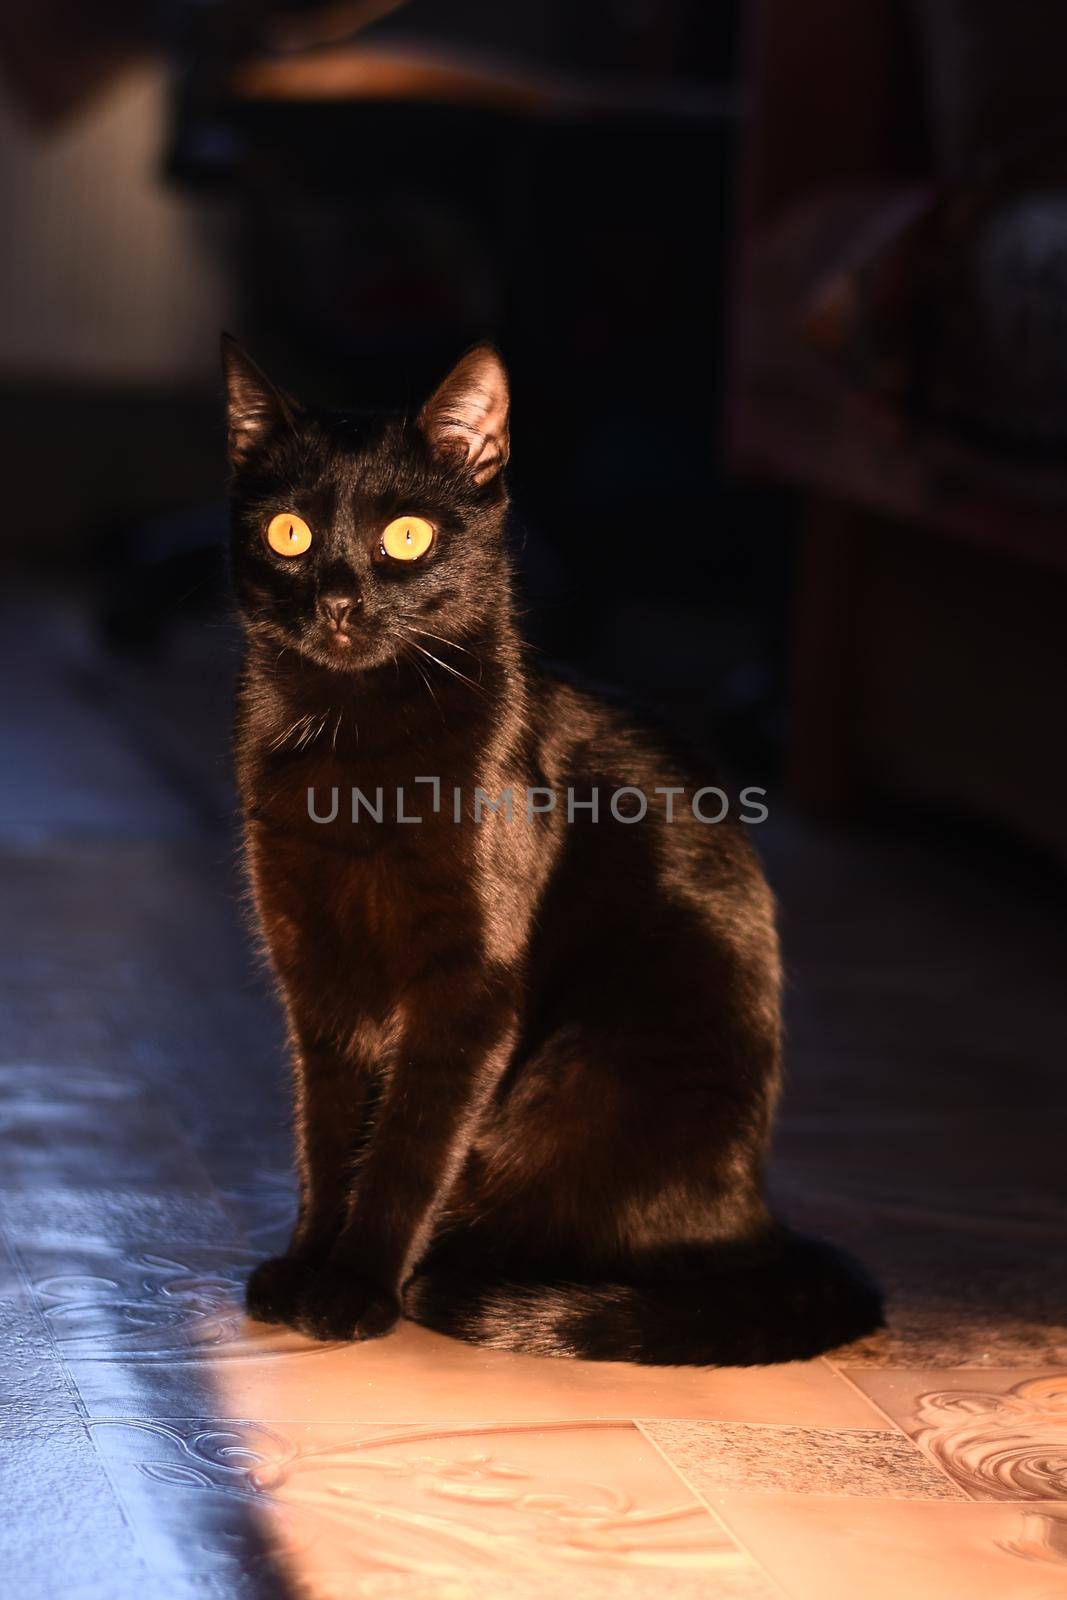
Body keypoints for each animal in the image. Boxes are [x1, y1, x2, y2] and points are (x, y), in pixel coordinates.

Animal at [220, 337, 883, 1363]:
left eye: (405, 537)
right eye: (287, 533)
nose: (336, 599)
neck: (352, 747)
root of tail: (756, 1222)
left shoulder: (470, 990)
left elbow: (409, 1144)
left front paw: (355, 1289)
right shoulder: (316, 980)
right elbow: (326, 1138)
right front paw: (305, 1265)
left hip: (583, 1072)